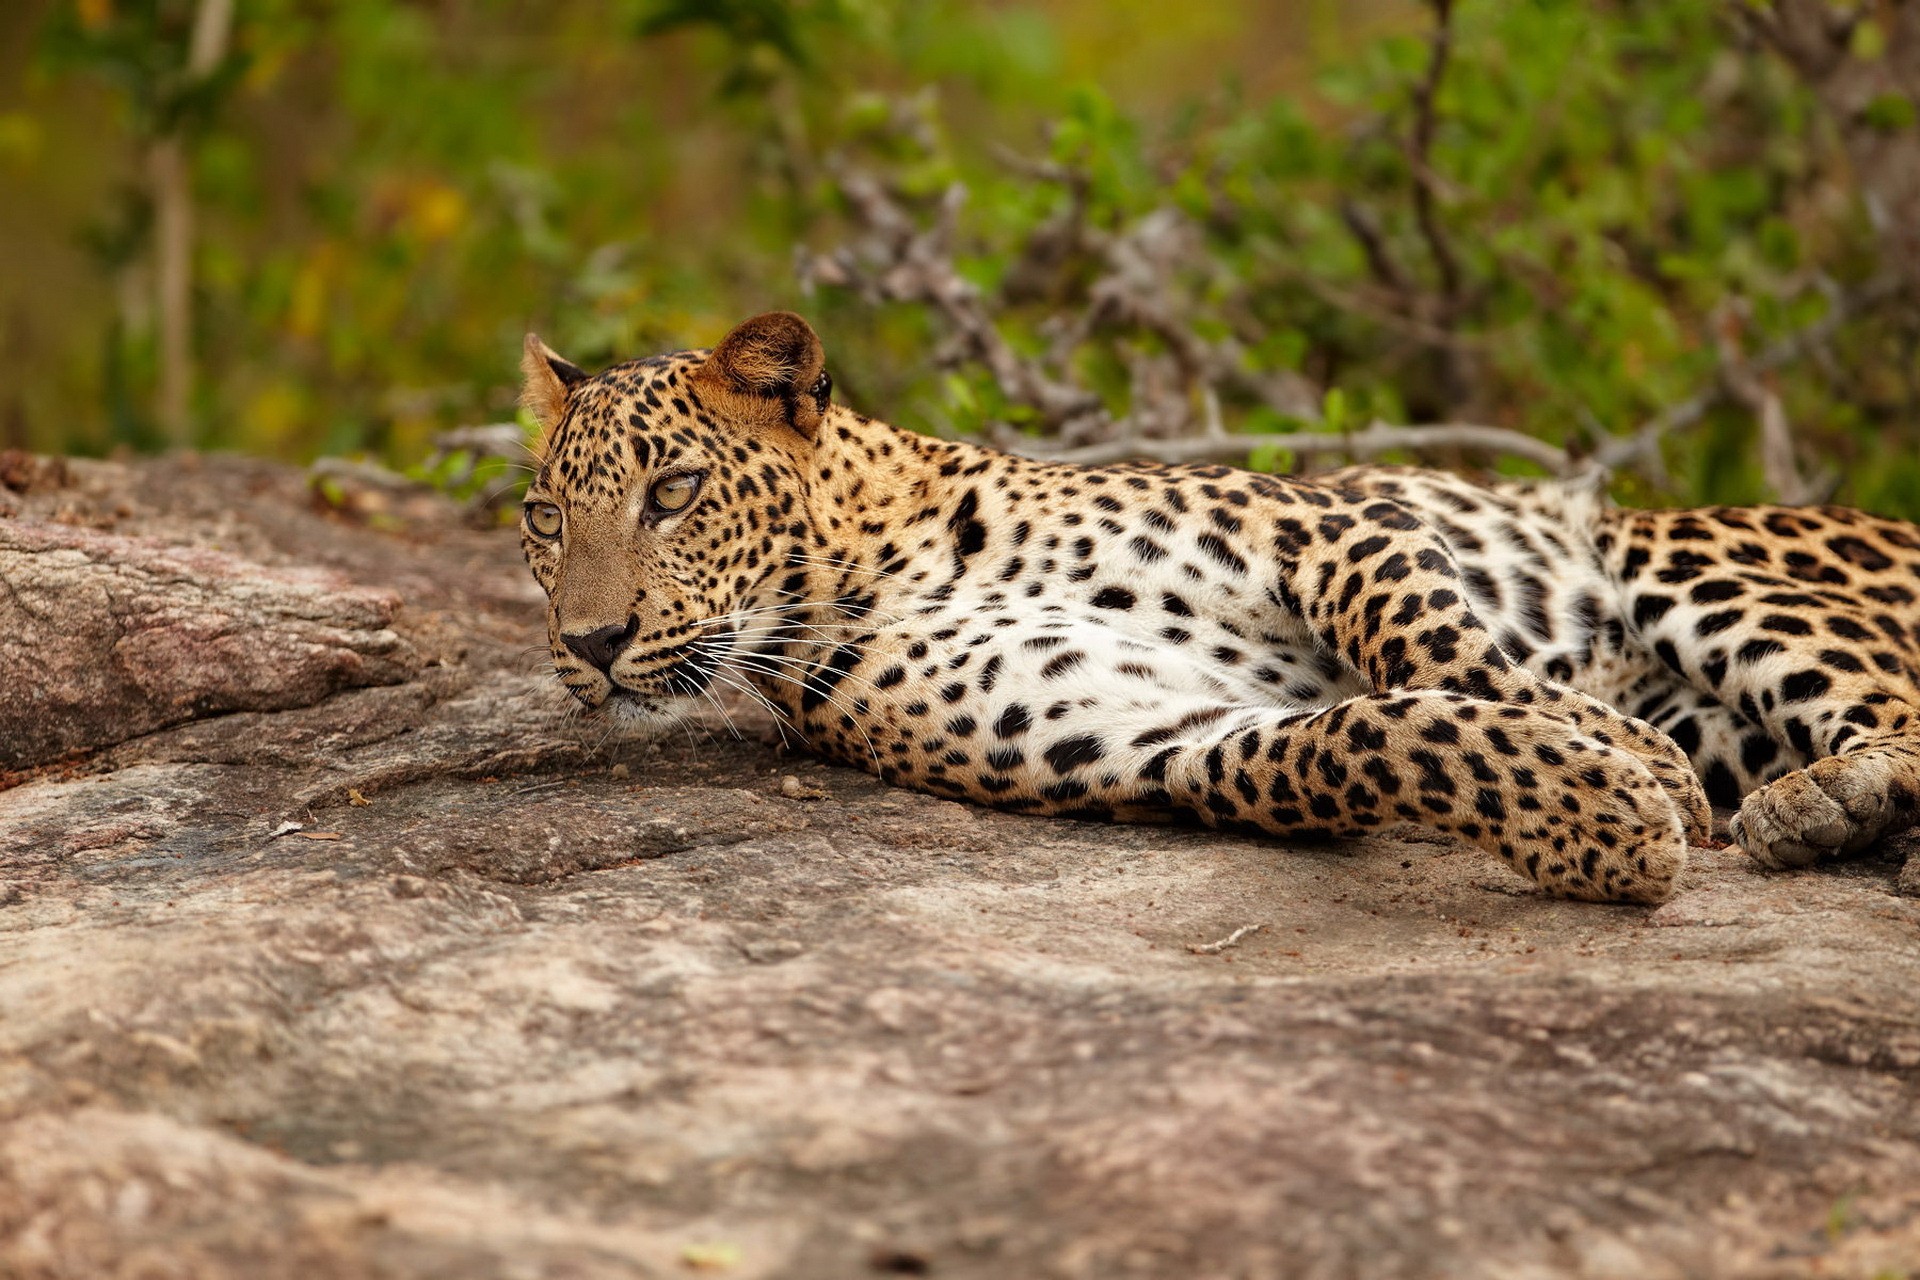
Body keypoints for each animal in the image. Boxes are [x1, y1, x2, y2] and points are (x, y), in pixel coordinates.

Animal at [515, 311, 1920, 904]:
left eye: (675, 490)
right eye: (544, 520)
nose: (590, 644)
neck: (878, 557)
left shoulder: (1325, 527)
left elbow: (1445, 644)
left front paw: (1627, 757)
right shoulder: (1155, 740)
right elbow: (1369, 733)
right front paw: (1594, 816)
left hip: (1675, 556)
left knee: (1885, 697)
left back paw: (1813, 799)